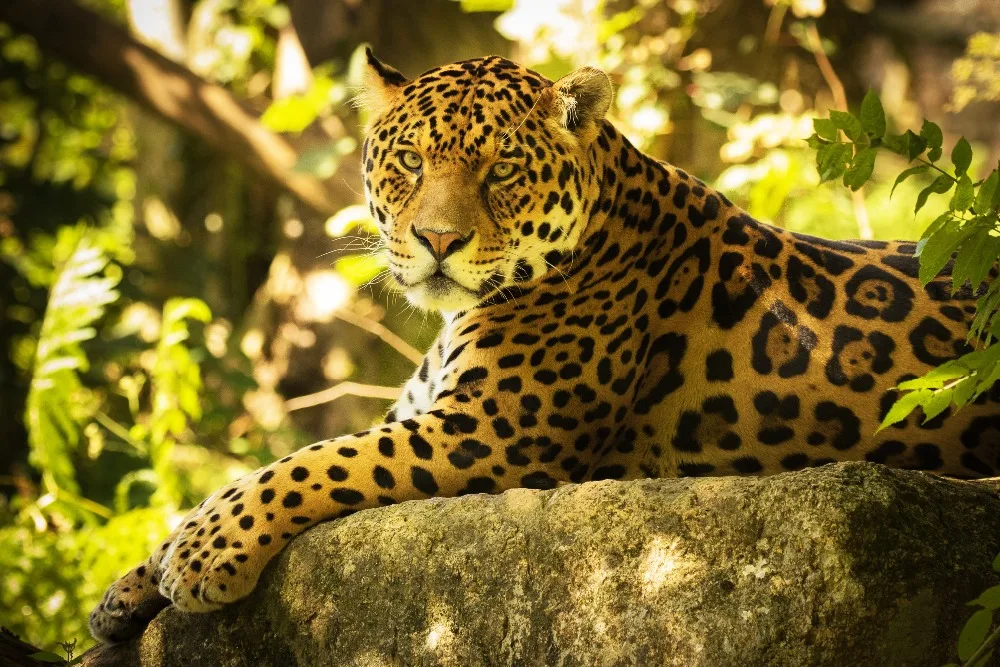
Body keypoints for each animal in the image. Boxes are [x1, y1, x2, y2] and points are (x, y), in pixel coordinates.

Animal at [90, 49, 1000, 643]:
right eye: (410, 160)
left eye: (501, 172)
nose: (437, 240)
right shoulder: (423, 412)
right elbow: (247, 476)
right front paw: (126, 590)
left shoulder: (488, 432)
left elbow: (310, 460)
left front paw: (205, 553)